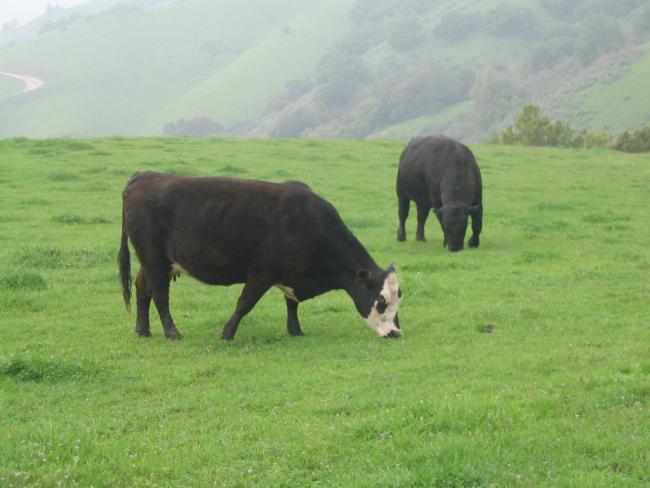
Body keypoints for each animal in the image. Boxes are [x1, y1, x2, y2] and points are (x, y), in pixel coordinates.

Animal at [117, 171, 400, 340]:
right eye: (381, 301)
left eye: (399, 301)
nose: (396, 332)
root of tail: (145, 176)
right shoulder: (262, 272)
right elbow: (245, 303)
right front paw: (227, 333)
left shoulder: (290, 273)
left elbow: (291, 303)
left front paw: (295, 330)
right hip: (154, 258)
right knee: (159, 295)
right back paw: (172, 332)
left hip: (153, 260)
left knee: (142, 288)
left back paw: (142, 329)